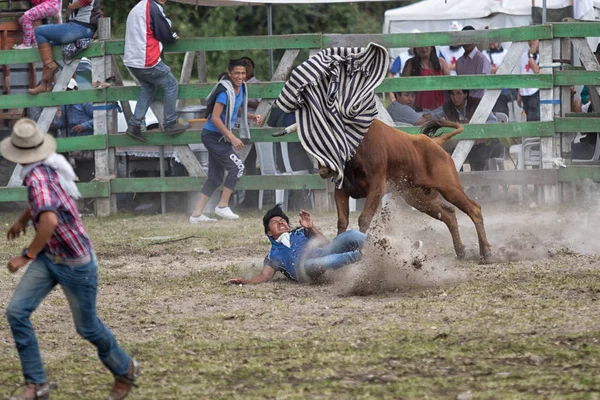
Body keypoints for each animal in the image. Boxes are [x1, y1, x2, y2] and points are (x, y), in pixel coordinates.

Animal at [322, 119, 490, 260]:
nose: (325, 169)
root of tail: (434, 142)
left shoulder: (376, 188)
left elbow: (364, 218)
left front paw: (358, 252)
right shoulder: (341, 191)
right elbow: (342, 221)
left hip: (450, 188)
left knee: (474, 209)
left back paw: (486, 253)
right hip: (420, 198)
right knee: (448, 214)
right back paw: (461, 251)